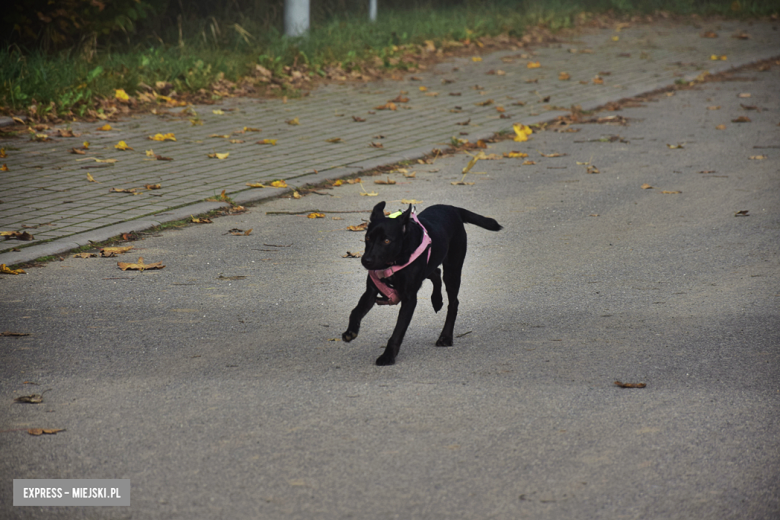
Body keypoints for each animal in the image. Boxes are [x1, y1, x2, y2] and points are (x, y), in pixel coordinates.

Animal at [342, 200, 502, 366]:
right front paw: (350, 331)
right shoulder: (371, 291)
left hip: (452, 270)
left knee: (453, 302)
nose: (366, 260)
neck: (394, 261)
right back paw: (436, 300)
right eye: (368, 238)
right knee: (436, 273)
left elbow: (398, 331)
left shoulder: (409, 299)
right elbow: (355, 311)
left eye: (386, 240)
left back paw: (445, 336)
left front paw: (388, 356)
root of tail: (452, 208)